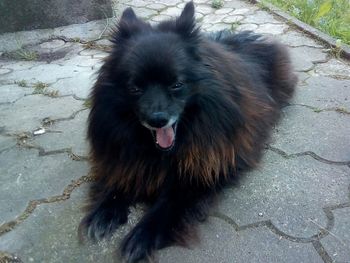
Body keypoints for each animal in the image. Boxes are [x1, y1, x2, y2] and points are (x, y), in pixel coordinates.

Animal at [78, 1, 296, 262]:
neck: (157, 151)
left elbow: (170, 203)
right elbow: (120, 177)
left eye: (176, 84)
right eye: (135, 88)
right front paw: (105, 210)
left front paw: (142, 236)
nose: (157, 120)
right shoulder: (124, 158)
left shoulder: (204, 170)